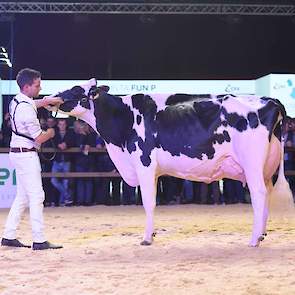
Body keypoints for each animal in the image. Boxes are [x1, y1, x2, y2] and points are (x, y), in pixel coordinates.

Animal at [48, 78, 294, 247]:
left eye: (76, 89)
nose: (54, 97)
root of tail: (270, 100)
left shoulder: (144, 163)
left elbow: (148, 202)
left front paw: (147, 238)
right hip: (266, 168)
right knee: (266, 195)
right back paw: (262, 234)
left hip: (252, 163)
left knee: (259, 194)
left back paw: (254, 240)